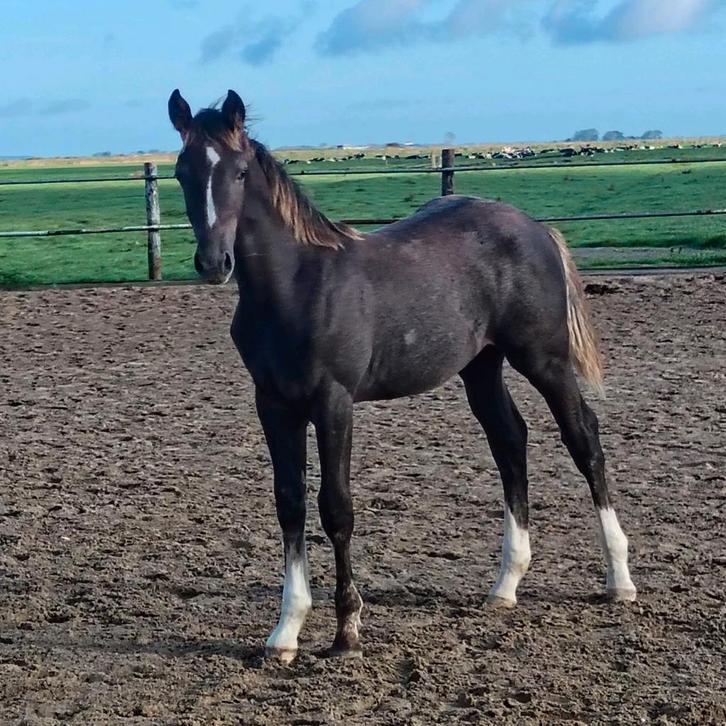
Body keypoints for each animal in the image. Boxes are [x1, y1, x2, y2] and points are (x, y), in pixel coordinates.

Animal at [168, 89, 636, 663]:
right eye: (182, 170)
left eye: (237, 171)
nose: (214, 263)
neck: (296, 287)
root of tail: (534, 227)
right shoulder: (273, 404)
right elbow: (289, 502)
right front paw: (285, 633)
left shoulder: (333, 402)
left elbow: (335, 508)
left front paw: (347, 630)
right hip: (481, 366)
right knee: (510, 441)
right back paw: (505, 585)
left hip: (543, 358)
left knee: (583, 437)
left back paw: (619, 578)